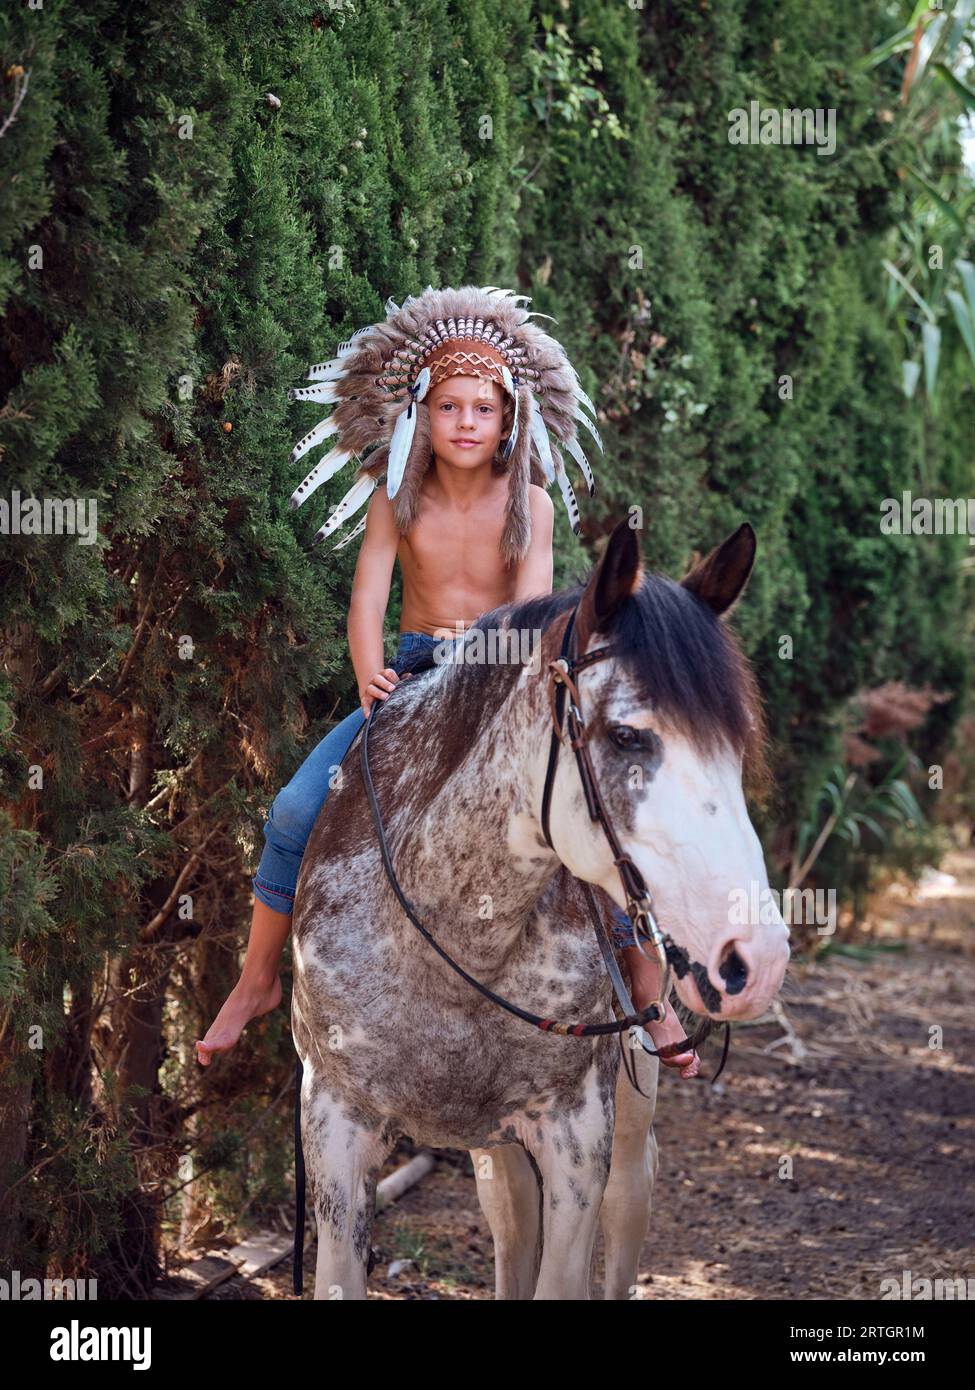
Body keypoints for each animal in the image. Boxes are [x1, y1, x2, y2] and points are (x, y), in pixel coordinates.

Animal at [290, 517, 790, 1295]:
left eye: (737, 746)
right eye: (625, 735)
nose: (755, 960)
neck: (454, 929)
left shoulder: (576, 1133)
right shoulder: (334, 1125)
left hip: (627, 1122)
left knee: (623, 1213)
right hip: (492, 1142)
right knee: (512, 1215)